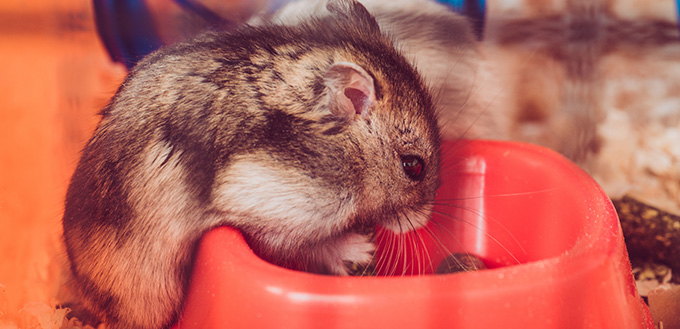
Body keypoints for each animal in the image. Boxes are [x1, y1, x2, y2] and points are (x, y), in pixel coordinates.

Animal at [62, 1, 440, 326]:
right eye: (413, 166)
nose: (423, 220)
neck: (344, 145)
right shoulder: (274, 202)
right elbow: (311, 244)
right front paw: (362, 248)